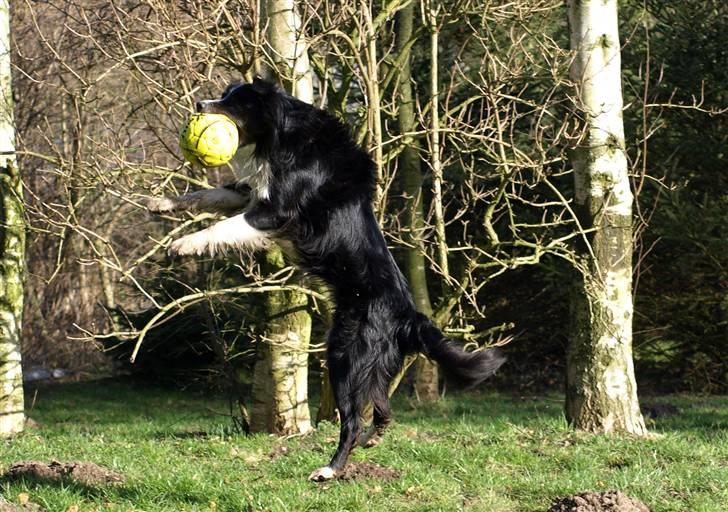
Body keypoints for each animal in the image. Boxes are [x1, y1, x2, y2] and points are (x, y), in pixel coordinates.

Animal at [145, 78, 504, 482]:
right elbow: (208, 194)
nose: (199, 104)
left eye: (235, 102)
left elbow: (221, 226)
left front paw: (182, 244)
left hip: (346, 351)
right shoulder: (251, 193)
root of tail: (409, 316)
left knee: (351, 421)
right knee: (382, 410)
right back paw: (373, 439)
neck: (282, 136)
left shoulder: (273, 212)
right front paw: (162, 203)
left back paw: (330, 469)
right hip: (374, 363)